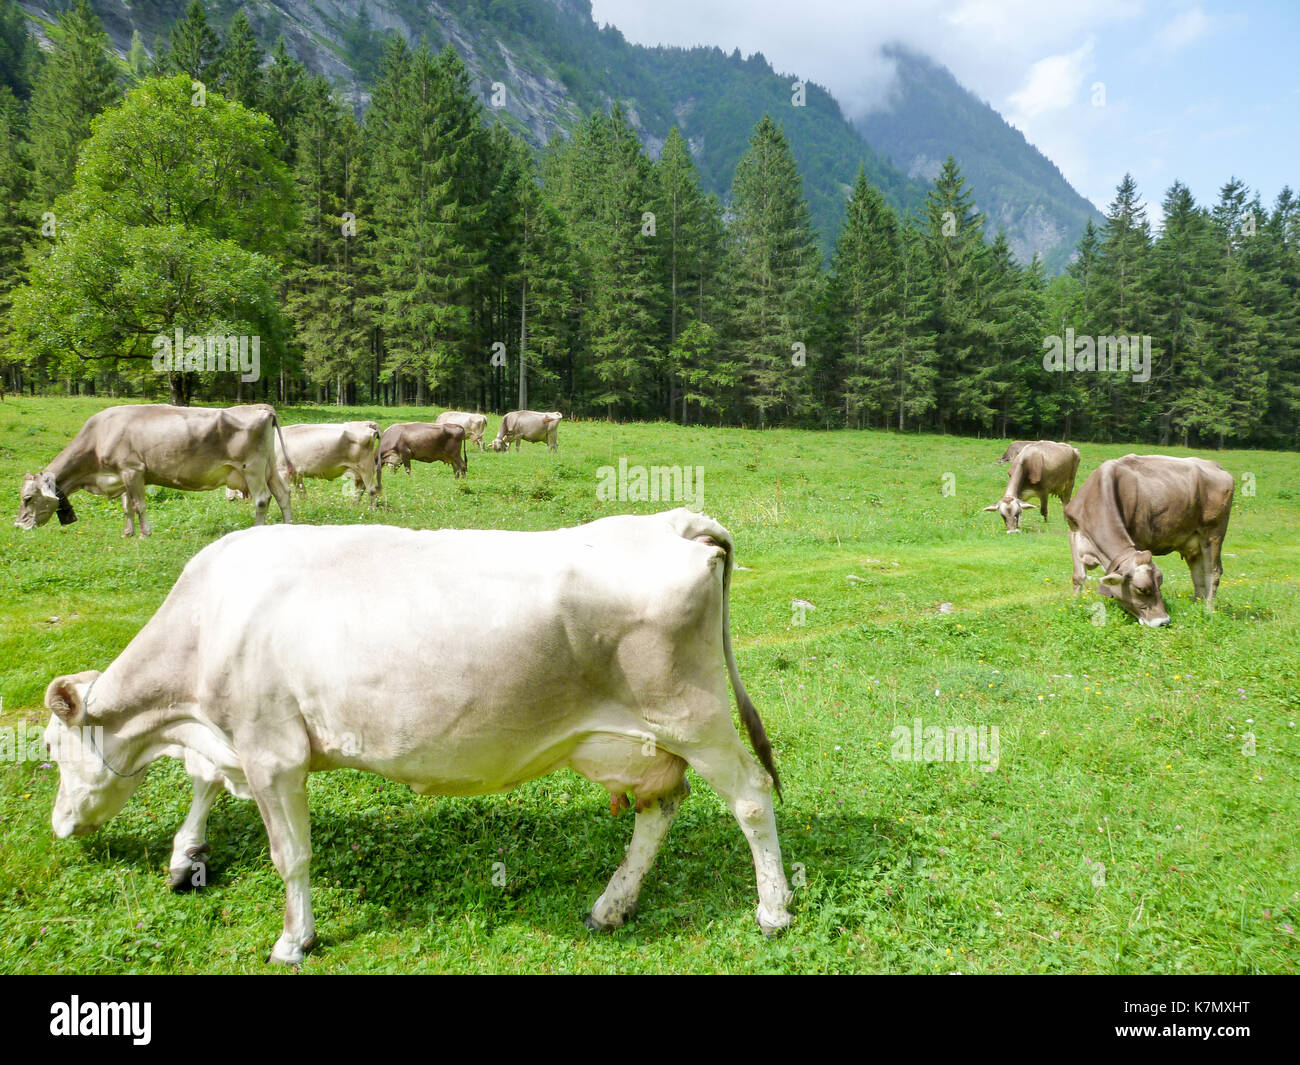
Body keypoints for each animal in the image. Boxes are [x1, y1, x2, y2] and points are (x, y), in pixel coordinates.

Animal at [14, 403, 293, 537]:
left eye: (27, 498)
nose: (18, 525)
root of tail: (260, 407)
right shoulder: (122, 475)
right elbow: (127, 507)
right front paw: (127, 533)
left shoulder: (133, 470)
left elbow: (139, 505)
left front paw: (144, 533)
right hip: (269, 466)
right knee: (283, 494)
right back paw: (290, 526)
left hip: (252, 466)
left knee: (262, 498)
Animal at [41, 509, 792, 964]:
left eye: (49, 750)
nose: (58, 827)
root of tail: (674, 521)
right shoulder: (230, 740)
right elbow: (202, 781)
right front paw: (185, 855)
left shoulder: (271, 751)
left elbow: (292, 855)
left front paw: (294, 939)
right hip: (637, 739)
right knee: (659, 807)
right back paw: (611, 906)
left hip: (692, 714)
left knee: (752, 796)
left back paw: (773, 909)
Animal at [227, 421, 381, 505]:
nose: (228, 498)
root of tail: (367, 424)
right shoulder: (296, 474)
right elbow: (302, 492)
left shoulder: (283, 472)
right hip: (358, 471)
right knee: (360, 488)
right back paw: (353, 506)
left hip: (366, 466)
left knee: (372, 489)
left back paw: (371, 509)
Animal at [1064, 454, 1234, 627]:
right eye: (1141, 589)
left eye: (1160, 584)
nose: (1163, 621)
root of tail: (1215, 465)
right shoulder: (1074, 532)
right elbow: (1078, 577)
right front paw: (1075, 605)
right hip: (1193, 543)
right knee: (1198, 573)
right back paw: (1197, 605)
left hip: (1214, 533)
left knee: (1213, 572)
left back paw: (1208, 610)